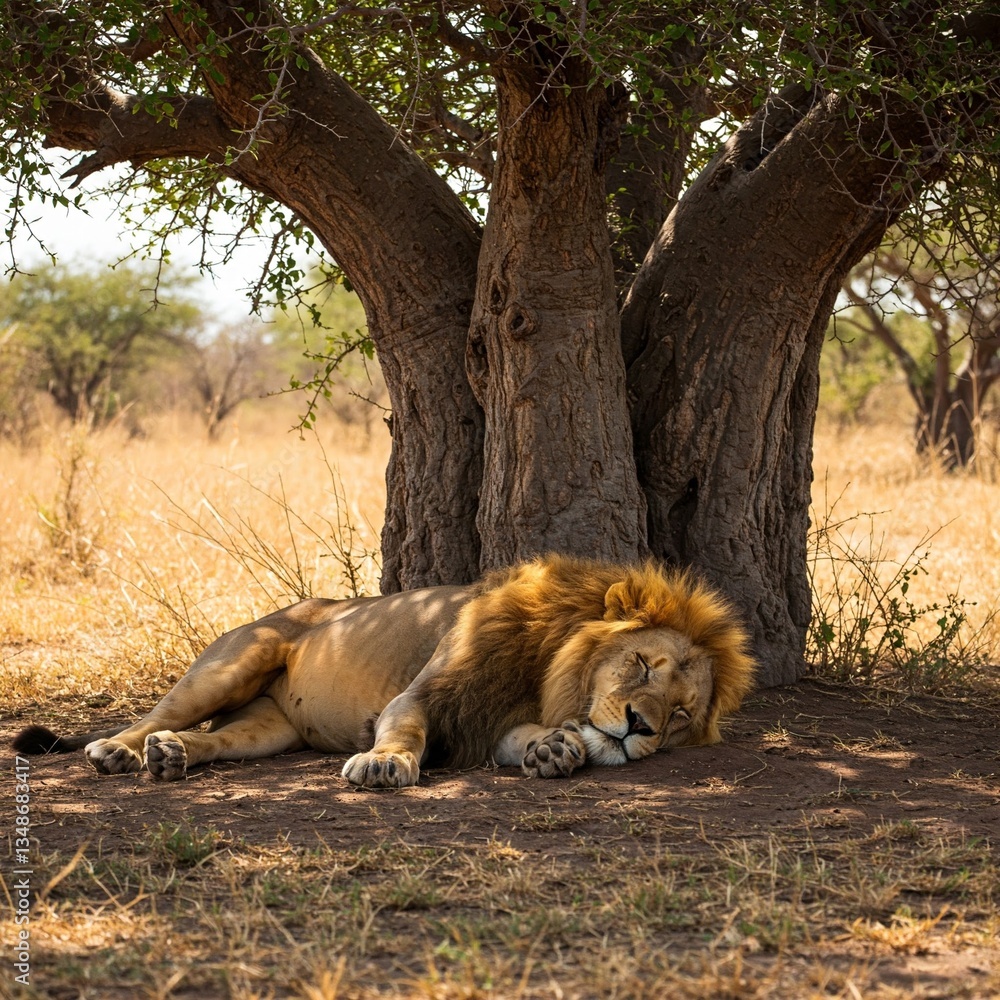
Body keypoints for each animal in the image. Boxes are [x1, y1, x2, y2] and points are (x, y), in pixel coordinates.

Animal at [13, 555, 754, 788]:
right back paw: (119, 750)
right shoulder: (429, 692)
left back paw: (173, 757)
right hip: (235, 659)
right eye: (641, 664)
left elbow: (523, 740)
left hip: (269, 728)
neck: (547, 665)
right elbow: (404, 729)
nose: (638, 726)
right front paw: (384, 764)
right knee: (155, 714)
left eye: (681, 713)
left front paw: (554, 750)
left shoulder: (489, 719)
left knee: (216, 740)